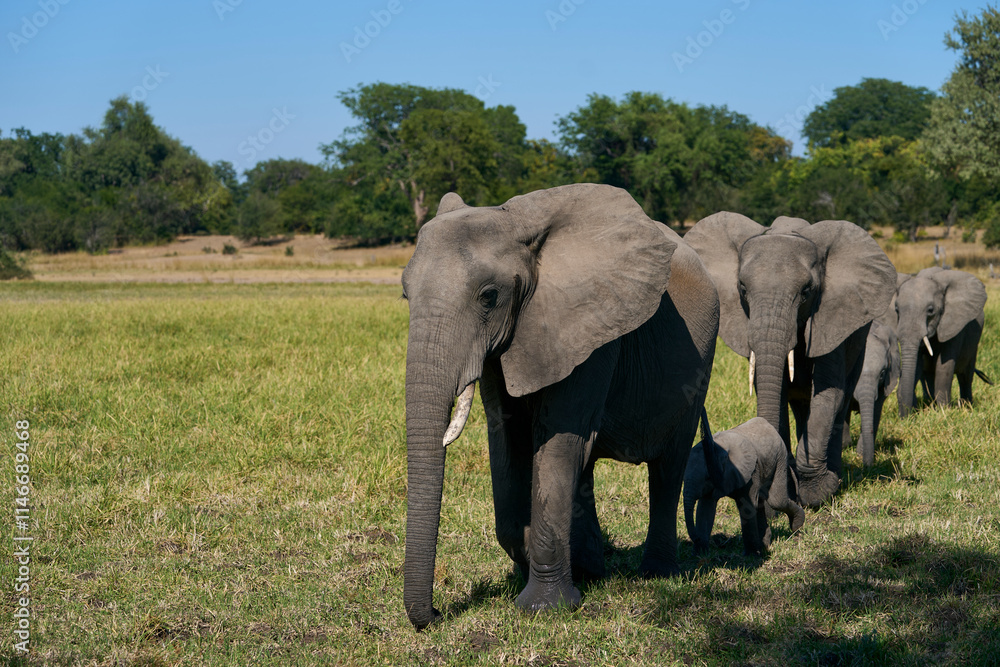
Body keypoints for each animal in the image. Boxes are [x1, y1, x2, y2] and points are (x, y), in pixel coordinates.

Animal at [401, 183, 719, 630]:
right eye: (404, 293)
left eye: (489, 297)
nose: (433, 615)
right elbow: (508, 439)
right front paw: (541, 570)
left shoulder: (593, 329)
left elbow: (555, 443)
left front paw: (543, 608)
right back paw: (592, 568)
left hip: (700, 359)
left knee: (667, 467)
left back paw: (656, 574)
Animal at [684, 410, 804, 557]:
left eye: (707, 477)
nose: (695, 539)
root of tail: (766, 423)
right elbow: (705, 509)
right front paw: (699, 555)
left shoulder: (750, 472)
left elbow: (746, 507)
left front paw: (750, 556)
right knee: (761, 502)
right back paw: (765, 545)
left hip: (780, 456)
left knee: (776, 500)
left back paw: (796, 526)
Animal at [895, 268, 989, 417]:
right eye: (896, 310)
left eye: (930, 310)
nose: (904, 417)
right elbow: (917, 366)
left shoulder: (954, 325)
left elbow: (944, 366)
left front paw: (944, 413)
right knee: (927, 376)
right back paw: (930, 403)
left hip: (974, 344)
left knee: (966, 376)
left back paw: (967, 406)